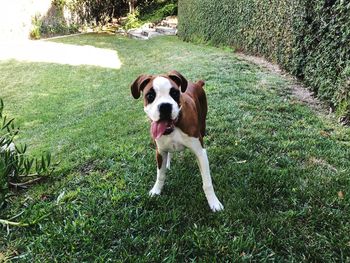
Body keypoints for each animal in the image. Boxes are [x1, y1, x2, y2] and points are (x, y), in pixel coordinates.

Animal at [131, 70, 224, 212]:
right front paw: (156, 190)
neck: (173, 127)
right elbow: (160, 175)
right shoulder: (159, 152)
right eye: (150, 95)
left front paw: (213, 202)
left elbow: (207, 183)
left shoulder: (200, 152)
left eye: (174, 93)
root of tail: (196, 83)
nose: (165, 106)